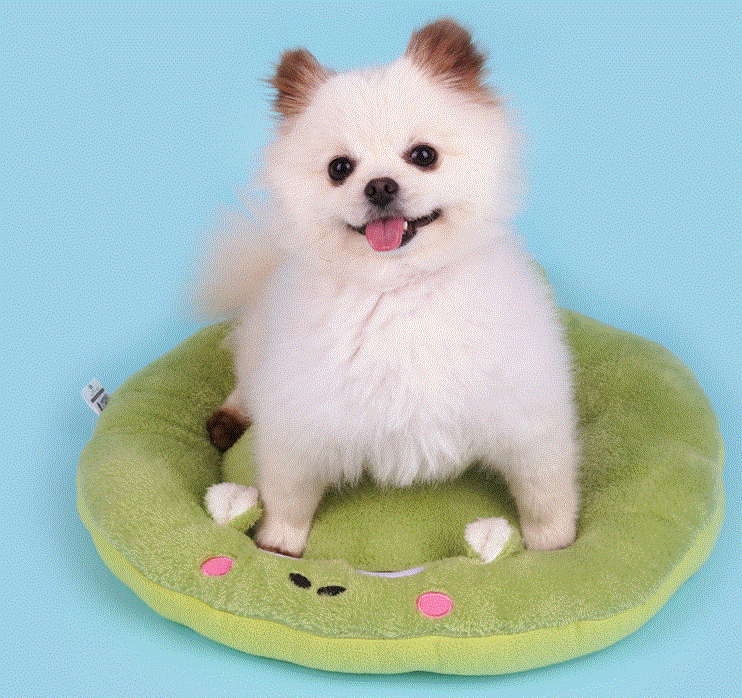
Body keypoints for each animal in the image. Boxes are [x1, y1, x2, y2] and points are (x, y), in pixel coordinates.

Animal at [201, 19, 580, 561]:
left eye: (424, 156)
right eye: (339, 168)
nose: (380, 185)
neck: (399, 291)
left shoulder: (526, 413)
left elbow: (545, 493)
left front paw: (554, 548)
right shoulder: (302, 419)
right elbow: (287, 497)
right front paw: (277, 547)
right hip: (260, 353)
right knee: (245, 384)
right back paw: (227, 418)